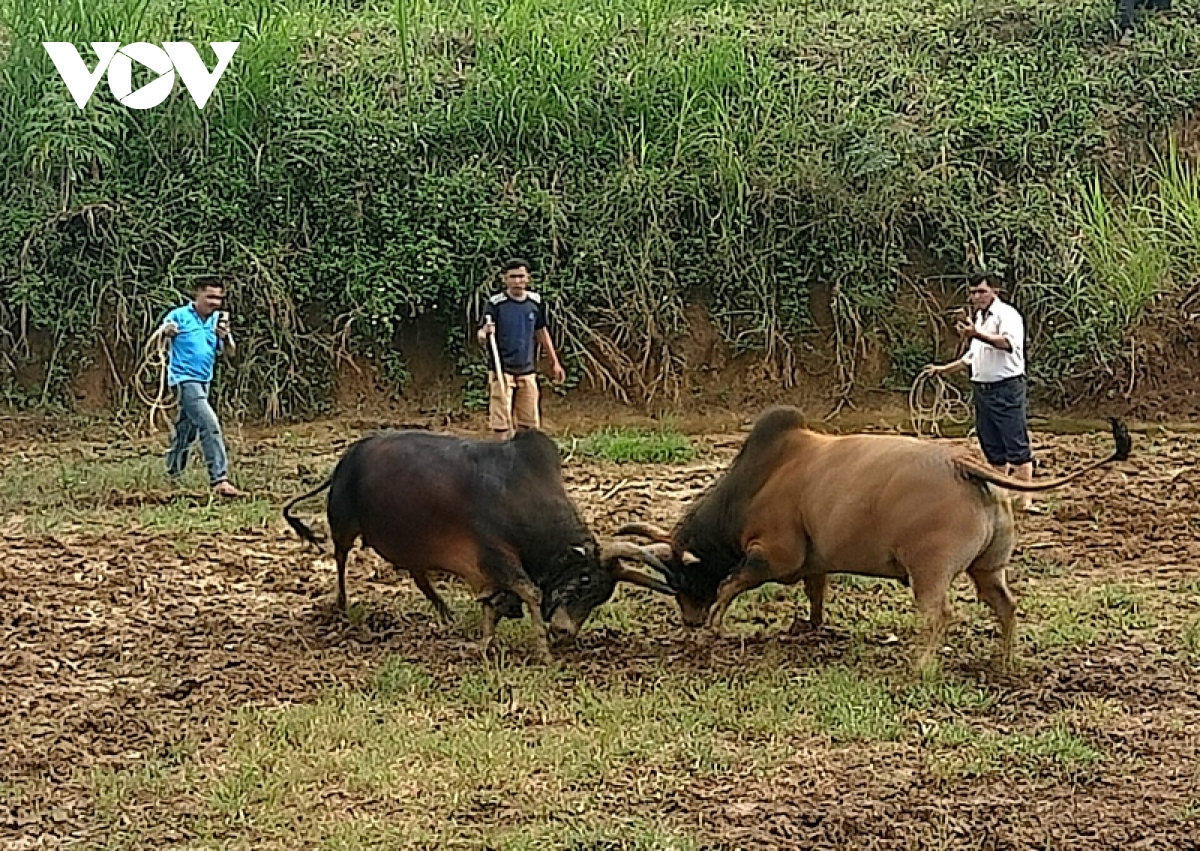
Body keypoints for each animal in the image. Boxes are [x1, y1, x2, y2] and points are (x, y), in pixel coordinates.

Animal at [283, 427, 676, 662]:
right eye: (583, 581)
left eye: (600, 597)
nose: (565, 632)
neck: (519, 497)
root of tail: (346, 459)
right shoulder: (493, 556)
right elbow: (530, 593)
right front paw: (543, 652)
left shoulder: (486, 572)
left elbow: (492, 605)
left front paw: (485, 643)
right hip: (343, 525)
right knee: (340, 559)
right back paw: (341, 605)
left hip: (409, 545)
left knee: (420, 577)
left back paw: (445, 613)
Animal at [614, 408, 1128, 667]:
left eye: (682, 580)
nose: (689, 621)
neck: (754, 482)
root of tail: (963, 464)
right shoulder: (812, 563)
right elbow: (816, 591)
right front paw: (810, 626)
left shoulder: (774, 555)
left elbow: (730, 584)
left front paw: (714, 628)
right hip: (988, 569)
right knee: (1005, 606)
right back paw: (1006, 662)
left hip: (929, 572)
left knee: (939, 615)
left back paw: (919, 667)